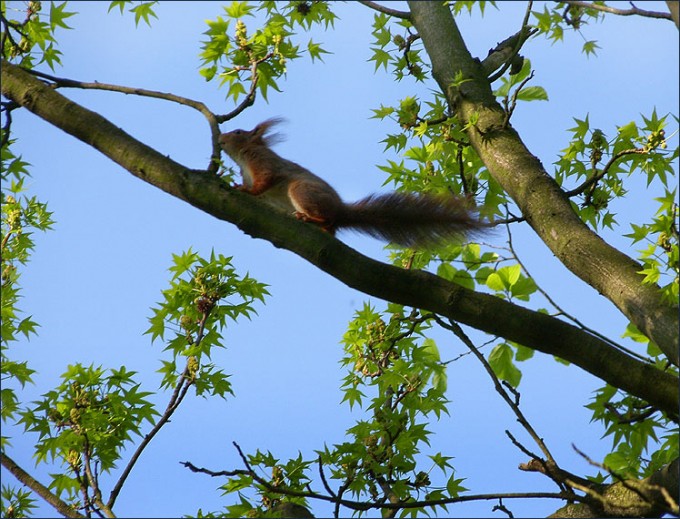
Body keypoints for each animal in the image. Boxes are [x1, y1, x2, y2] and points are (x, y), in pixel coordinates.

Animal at [218, 118, 486, 247]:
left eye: (238, 132)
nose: (220, 138)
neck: (243, 158)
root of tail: (341, 210)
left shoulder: (264, 163)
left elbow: (265, 181)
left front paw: (245, 190)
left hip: (302, 190)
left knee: (327, 220)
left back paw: (309, 218)